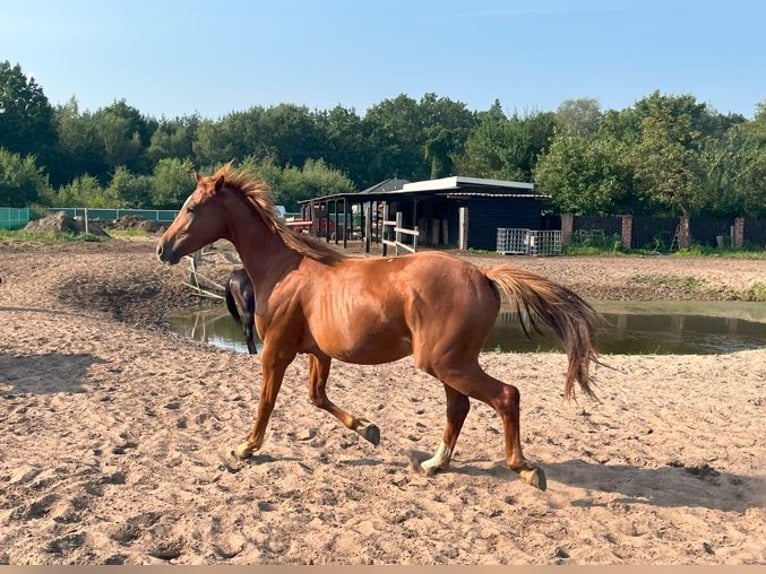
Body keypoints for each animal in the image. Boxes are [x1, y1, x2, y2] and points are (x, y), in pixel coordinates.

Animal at [158, 164, 608, 492]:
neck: (283, 271)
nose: (163, 248)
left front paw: (246, 448)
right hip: (451, 363)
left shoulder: (277, 351)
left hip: (446, 362)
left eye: (192, 208)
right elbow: (317, 397)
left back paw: (526, 469)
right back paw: (434, 463)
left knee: (505, 396)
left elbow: (267, 402)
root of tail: (483, 275)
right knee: (459, 407)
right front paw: (369, 431)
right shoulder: (319, 354)